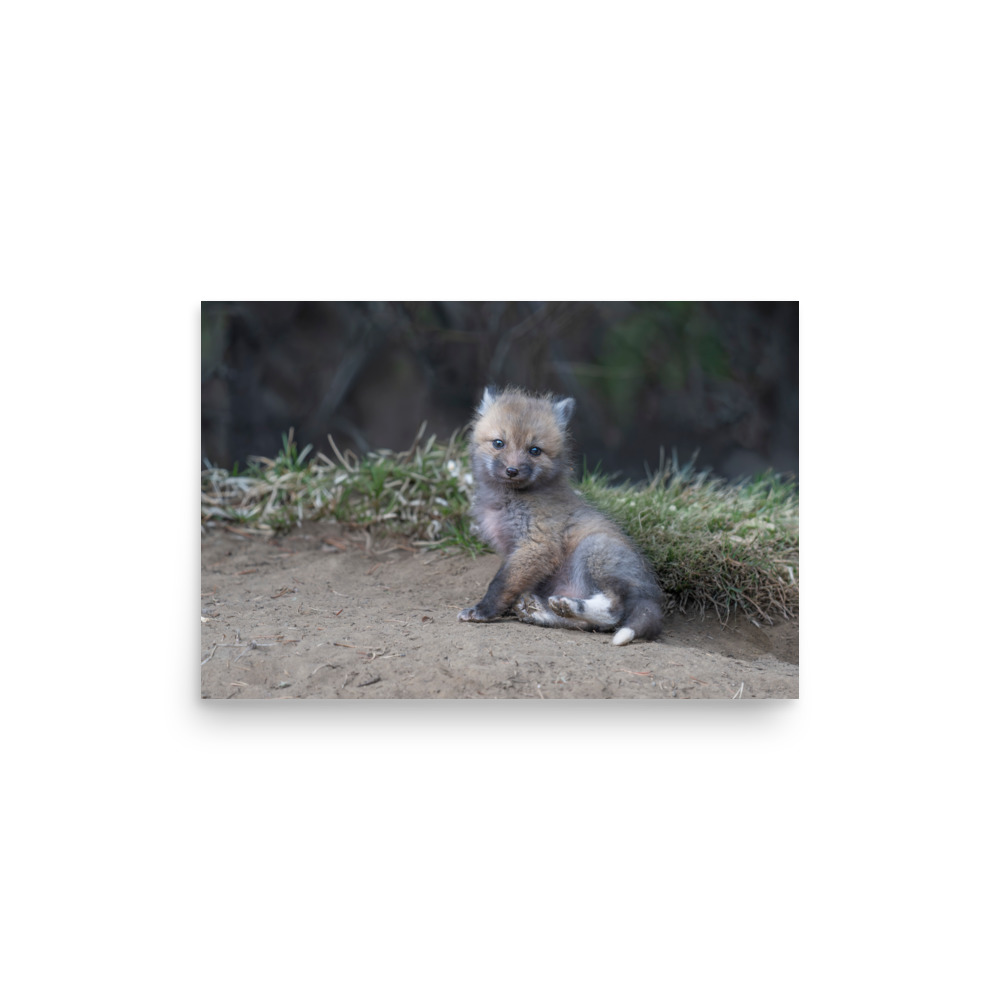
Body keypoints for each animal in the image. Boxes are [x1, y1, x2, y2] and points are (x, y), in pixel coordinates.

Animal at [457, 386, 663, 646]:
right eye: (498, 443)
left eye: (535, 450)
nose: (512, 471)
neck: (508, 501)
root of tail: (652, 595)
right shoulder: (514, 550)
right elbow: (511, 583)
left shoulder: (537, 544)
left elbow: (501, 583)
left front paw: (483, 611)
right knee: (588, 625)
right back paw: (543, 612)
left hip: (593, 550)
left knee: (613, 612)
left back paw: (568, 606)